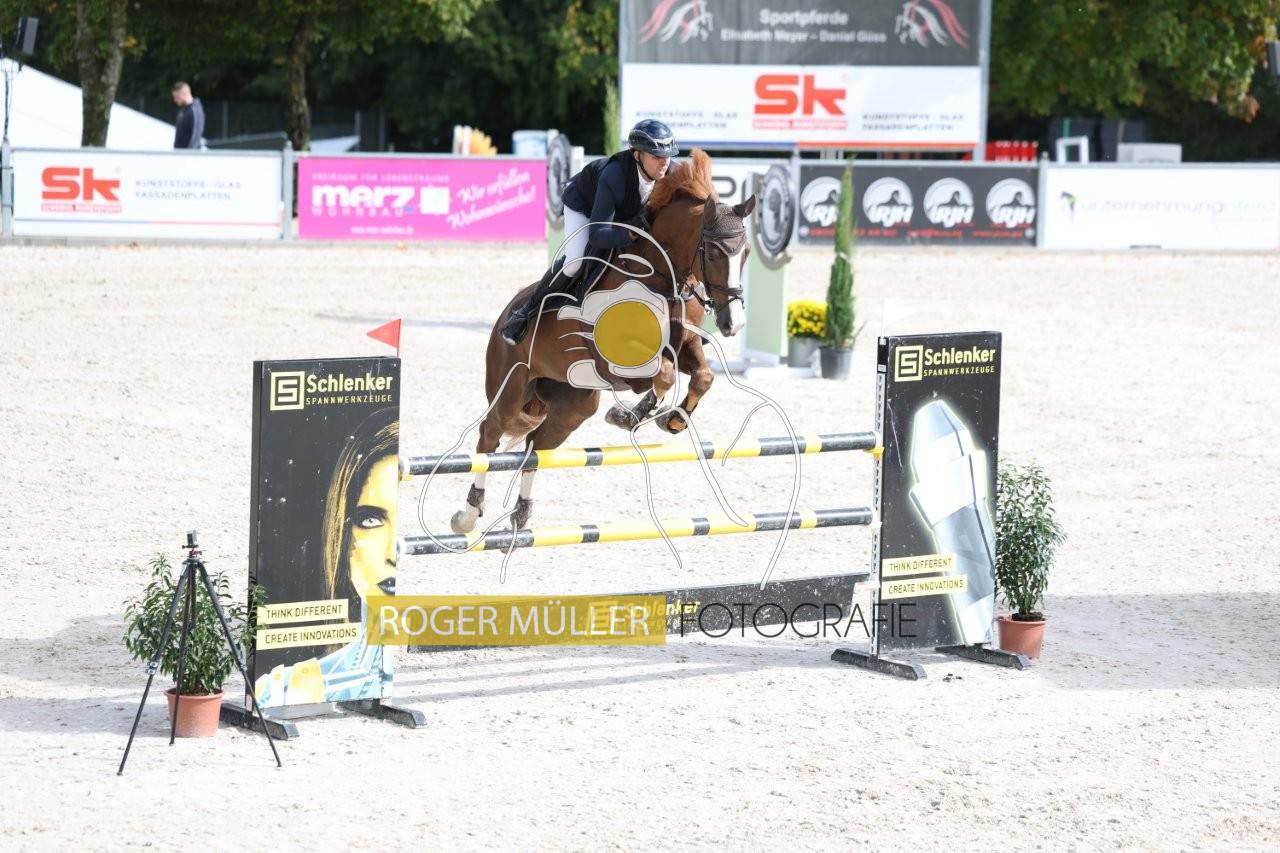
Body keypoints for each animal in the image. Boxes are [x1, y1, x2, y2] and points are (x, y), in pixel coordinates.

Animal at [450, 149, 756, 535]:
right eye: (714, 253)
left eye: (746, 252)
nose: (734, 323)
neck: (660, 278)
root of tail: (506, 313)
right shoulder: (618, 358)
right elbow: (663, 374)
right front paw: (631, 414)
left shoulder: (684, 342)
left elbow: (701, 376)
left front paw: (669, 419)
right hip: (511, 388)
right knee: (490, 435)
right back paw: (468, 513)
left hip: (574, 406)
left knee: (537, 447)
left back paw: (521, 513)